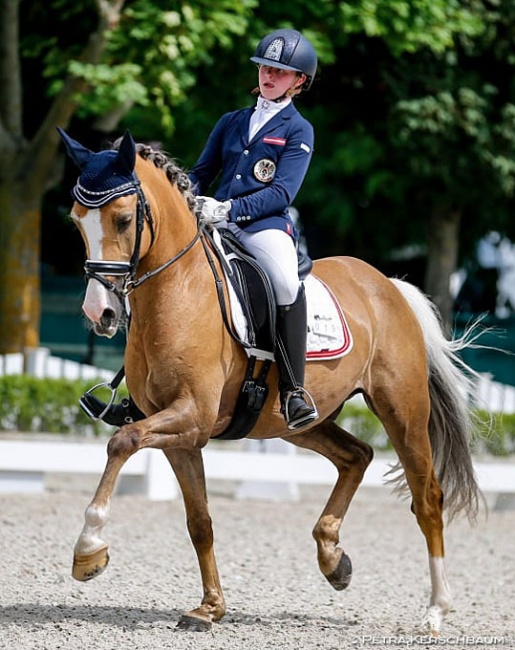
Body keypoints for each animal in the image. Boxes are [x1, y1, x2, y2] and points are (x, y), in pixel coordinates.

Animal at [59, 128, 484, 632]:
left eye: (124, 219)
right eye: (76, 222)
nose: (100, 314)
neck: (178, 290)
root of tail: (386, 285)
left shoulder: (191, 415)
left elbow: (121, 442)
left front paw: (89, 549)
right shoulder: (182, 434)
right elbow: (199, 521)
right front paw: (210, 607)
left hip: (402, 410)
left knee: (428, 498)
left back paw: (436, 610)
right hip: (297, 423)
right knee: (356, 456)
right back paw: (333, 559)